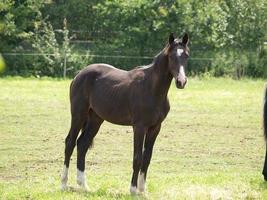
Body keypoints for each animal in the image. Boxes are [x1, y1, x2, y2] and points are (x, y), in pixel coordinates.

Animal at [60, 33, 191, 194]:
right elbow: (137, 157)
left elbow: (147, 158)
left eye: (186, 55)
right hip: (78, 115)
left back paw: (84, 185)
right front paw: (133, 190)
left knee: (82, 144)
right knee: (70, 143)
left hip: (95, 119)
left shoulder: (155, 128)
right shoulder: (139, 127)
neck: (151, 88)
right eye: (172, 56)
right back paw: (64, 184)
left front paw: (142, 190)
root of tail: (79, 75)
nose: (181, 81)